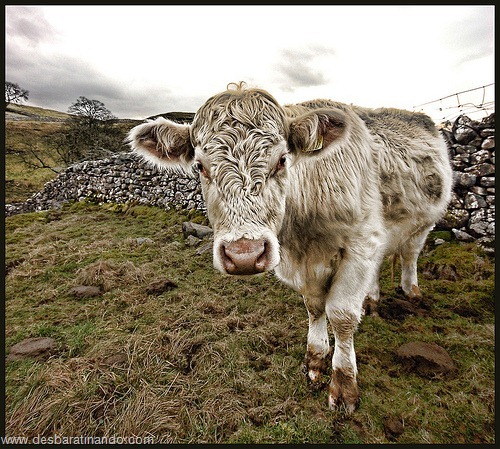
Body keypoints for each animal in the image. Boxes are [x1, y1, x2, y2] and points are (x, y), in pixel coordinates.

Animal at [127, 81, 456, 412]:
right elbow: (314, 307)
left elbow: (342, 315)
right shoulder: (308, 261)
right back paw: (372, 300)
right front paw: (316, 359)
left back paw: (412, 292)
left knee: (410, 256)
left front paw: (344, 384)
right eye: (200, 167)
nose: (244, 255)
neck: (305, 230)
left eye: (282, 160)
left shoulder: (360, 246)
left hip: (423, 224)